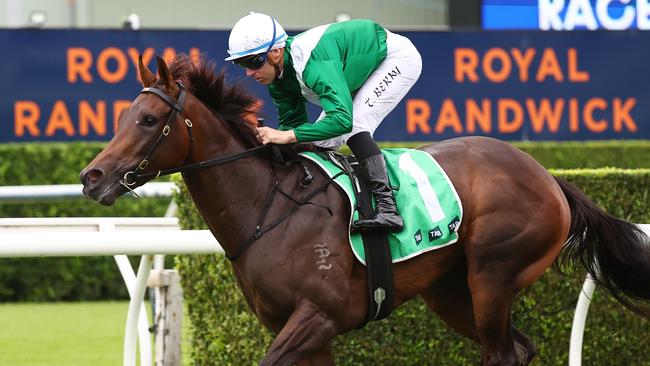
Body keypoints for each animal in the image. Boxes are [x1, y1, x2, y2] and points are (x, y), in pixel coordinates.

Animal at [81, 55, 648, 366]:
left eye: (148, 120)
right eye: (124, 117)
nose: (93, 177)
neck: (270, 209)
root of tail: (549, 178)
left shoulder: (319, 315)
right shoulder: (301, 328)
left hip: (494, 275)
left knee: (501, 351)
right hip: (452, 291)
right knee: (520, 349)